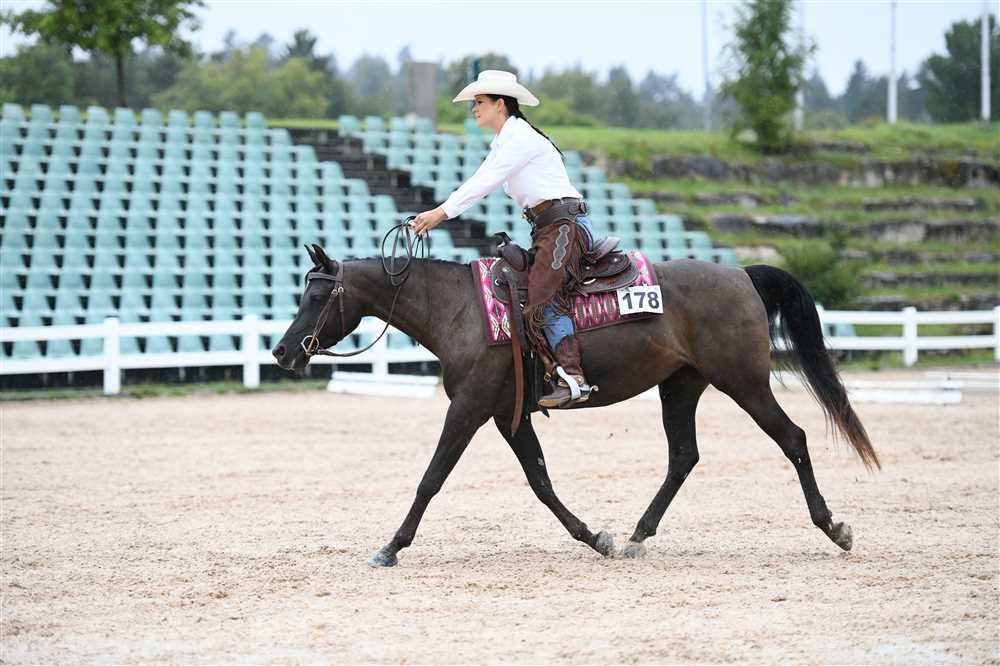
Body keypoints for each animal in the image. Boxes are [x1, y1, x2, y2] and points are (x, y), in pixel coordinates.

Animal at [272, 243, 879, 567]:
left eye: (318, 294)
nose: (282, 351)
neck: (462, 309)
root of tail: (741, 275)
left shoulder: (469, 408)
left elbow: (432, 478)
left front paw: (391, 546)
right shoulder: (507, 415)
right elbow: (540, 481)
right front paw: (595, 536)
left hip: (744, 383)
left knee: (793, 439)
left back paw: (834, 527)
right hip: (681, 387)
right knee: (683, 457)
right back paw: (636, 536)